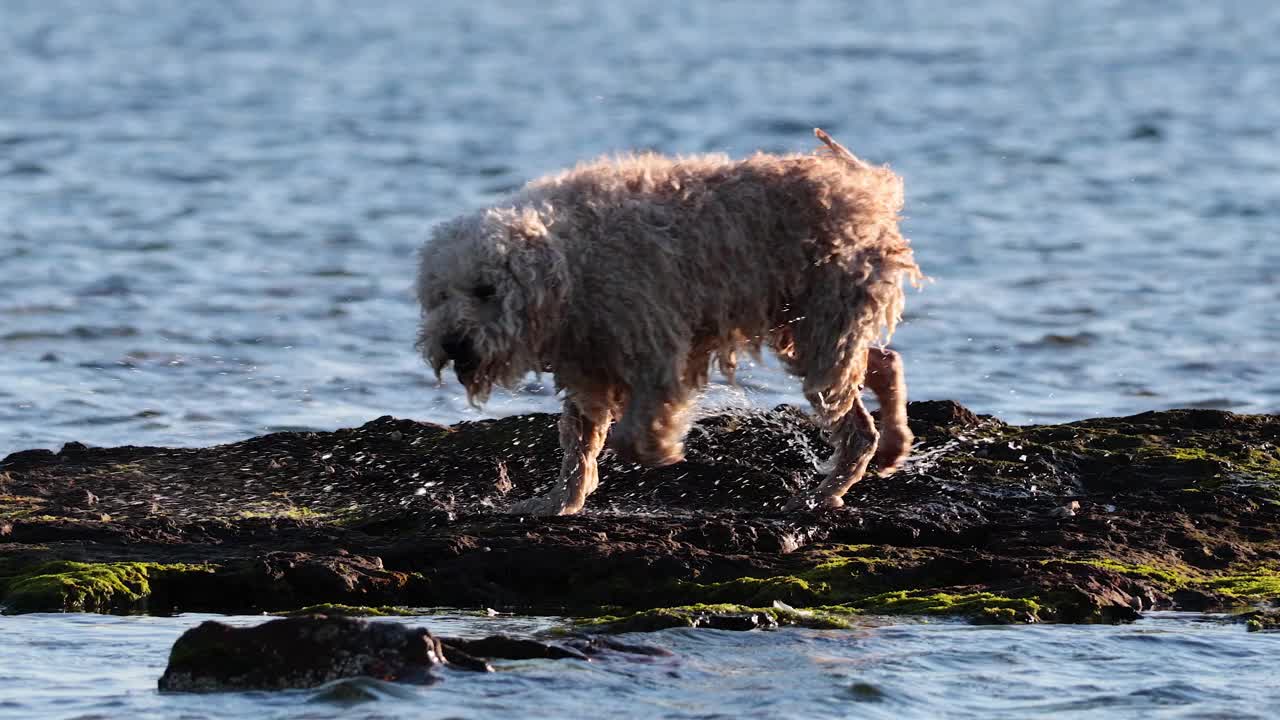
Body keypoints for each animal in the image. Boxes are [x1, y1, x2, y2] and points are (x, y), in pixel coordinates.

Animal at [417, 127, 921, 509]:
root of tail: (868, 189)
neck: (571, 262)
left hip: (823, 325)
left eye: (486, 290)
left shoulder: (652, 346)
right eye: (440, 295)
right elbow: (579, 442)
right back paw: (893, 445)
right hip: (806, 328)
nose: (454, 344)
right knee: (884, 362)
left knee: (856, 425)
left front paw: (663, 448)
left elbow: (629, 433)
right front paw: (560, 501)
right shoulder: (587, 362)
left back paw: (825, 493)